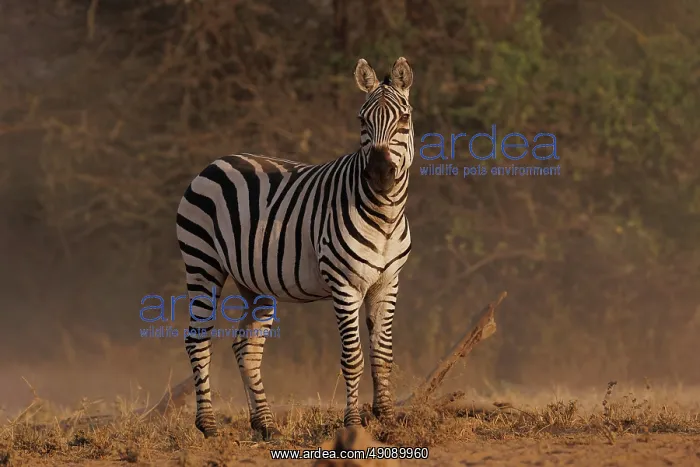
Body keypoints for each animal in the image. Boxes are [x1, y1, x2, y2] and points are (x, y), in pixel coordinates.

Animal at [176, 57, 414, 440]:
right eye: (362, 120)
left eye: (404, 119)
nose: (379, 174)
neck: (386, 216)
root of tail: (216, 162)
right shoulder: (344, 286)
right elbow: (353, 358)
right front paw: (353, 423)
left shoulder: (387, 283)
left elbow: (382, 354)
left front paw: (388, 418)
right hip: (202, 262)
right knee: (197, 339)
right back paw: (209, 426)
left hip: (254, 281)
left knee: (246, 346)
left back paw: (265, 424)